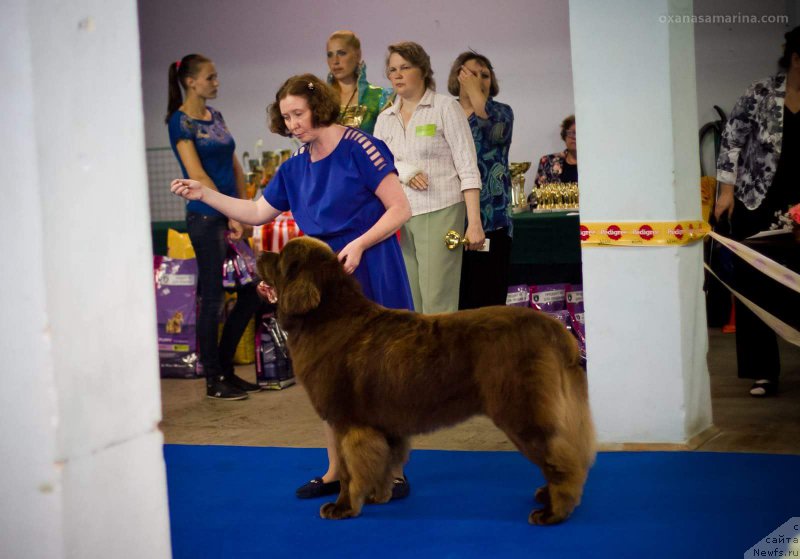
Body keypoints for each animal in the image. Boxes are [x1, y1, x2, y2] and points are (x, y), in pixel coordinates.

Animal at [256, 236, 592, 524]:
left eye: (280, 257)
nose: (259, 253)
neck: (327, 316)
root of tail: (554, 328)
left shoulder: (346, 422)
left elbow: (350, 471)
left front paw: (342, 507)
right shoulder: (382, 424)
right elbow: (382, 460)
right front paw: (379, 496)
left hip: (521, 409)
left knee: (560, 457)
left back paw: (553, 511)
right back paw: (547, 497)